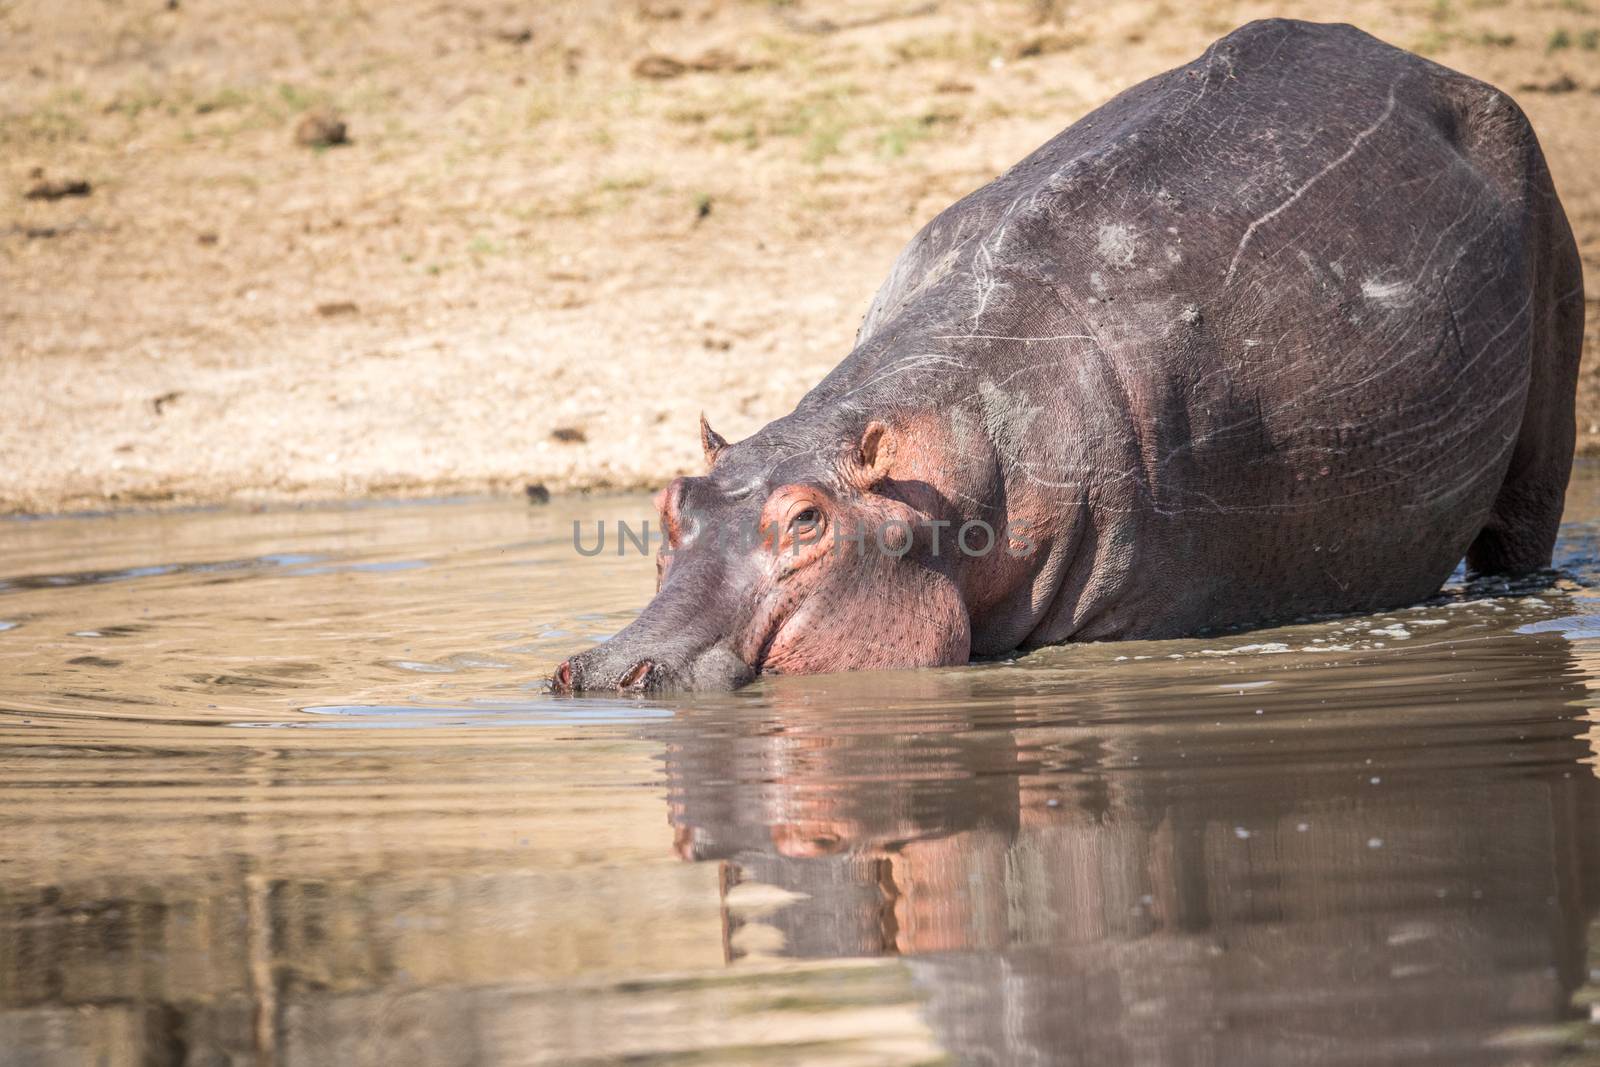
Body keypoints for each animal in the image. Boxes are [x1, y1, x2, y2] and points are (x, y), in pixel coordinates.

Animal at [556, 22, 1580, 700]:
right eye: (671, 500)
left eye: (806, 519)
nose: (601, 668)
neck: (948, 482)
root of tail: (1442, 68)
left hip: (1547, 401)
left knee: (1522, 528)